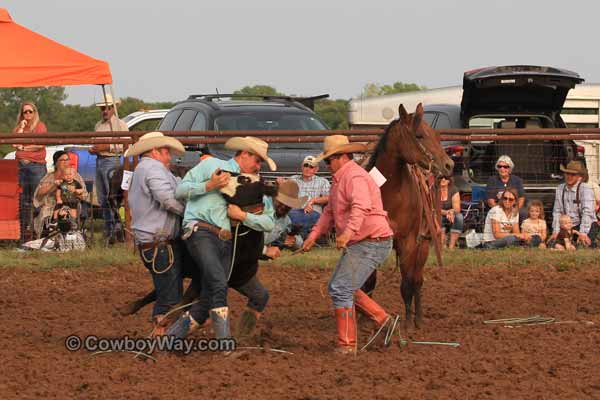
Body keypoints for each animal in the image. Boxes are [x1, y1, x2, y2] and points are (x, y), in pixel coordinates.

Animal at [364, 102, 452, 328]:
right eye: (419, 135)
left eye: (437, 135)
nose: (449, 165)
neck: (389, 194)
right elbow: (369, 281)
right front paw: (365, 318)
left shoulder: (408, 241)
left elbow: (407, 284)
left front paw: (408, 323)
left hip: (423, 246)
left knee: (417, 280)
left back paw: (418, 318)